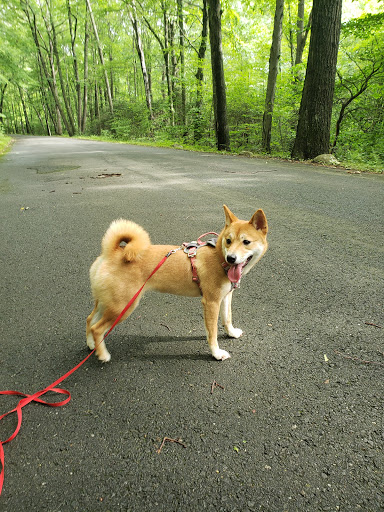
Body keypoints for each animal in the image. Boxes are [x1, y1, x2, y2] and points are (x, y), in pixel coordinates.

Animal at [86, 204, 268, 360]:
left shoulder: (225, 297)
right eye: (228, 241)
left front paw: (231, 333)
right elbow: (212, 333)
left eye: (246, 242)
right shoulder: (211, 302)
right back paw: (103, 355)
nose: (231, 258)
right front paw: (216, 353)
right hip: (122, 306)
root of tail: (111, 253)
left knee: (89, 320)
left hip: (107, 303)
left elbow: (227, 318)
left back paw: (91, 345)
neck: (219, 258)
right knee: (97, 328)